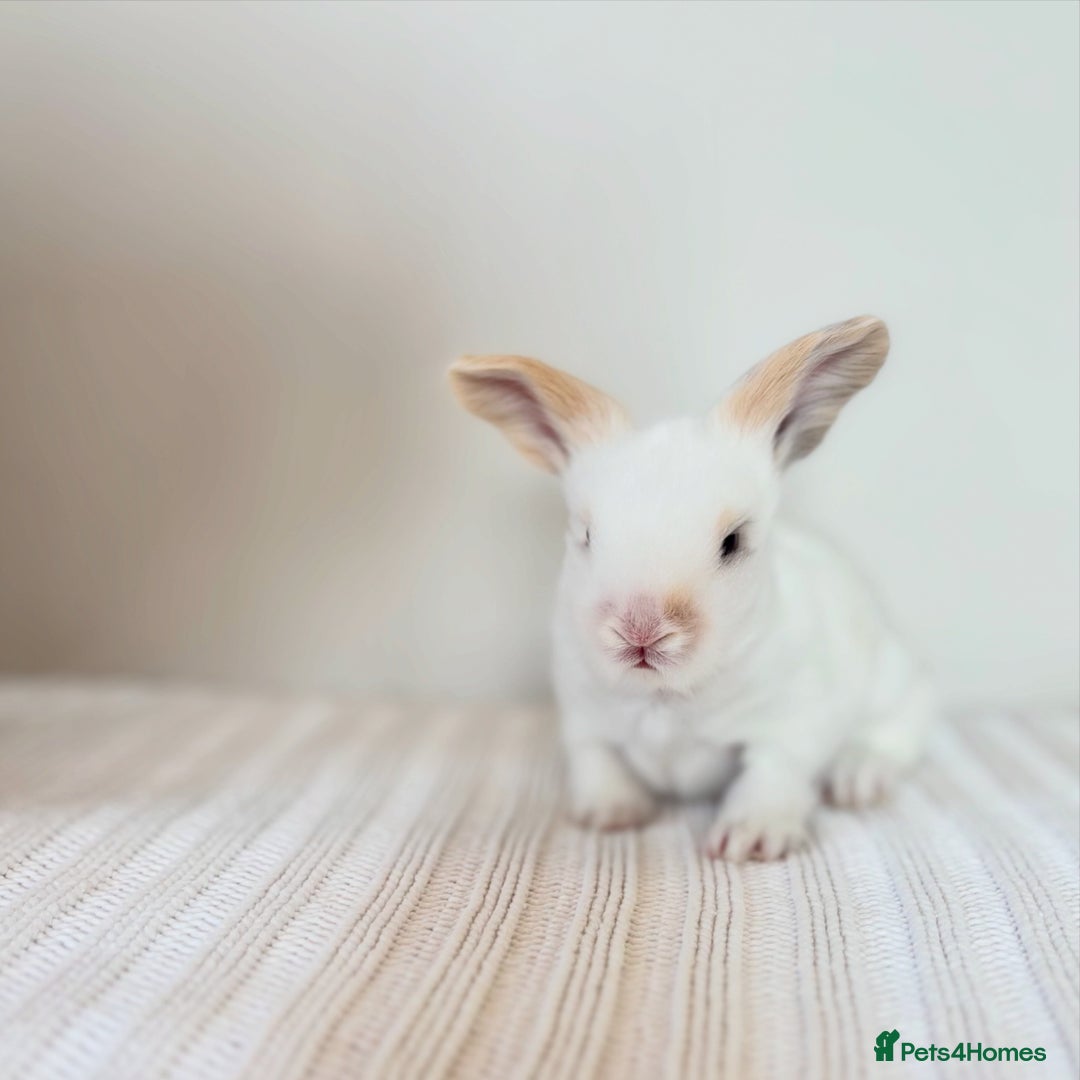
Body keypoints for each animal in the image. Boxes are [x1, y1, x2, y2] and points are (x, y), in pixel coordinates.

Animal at [448, 315, 936, 860]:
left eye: (732, 541)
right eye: (586, 536)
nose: (641, 631)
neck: (664, 699)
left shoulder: (792, 724)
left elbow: (772, 775)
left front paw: (750, 839)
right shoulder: (582, 721)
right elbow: (597, 764)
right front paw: (610, 814)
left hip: (894, 685)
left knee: (899, 731)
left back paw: (857, 779)